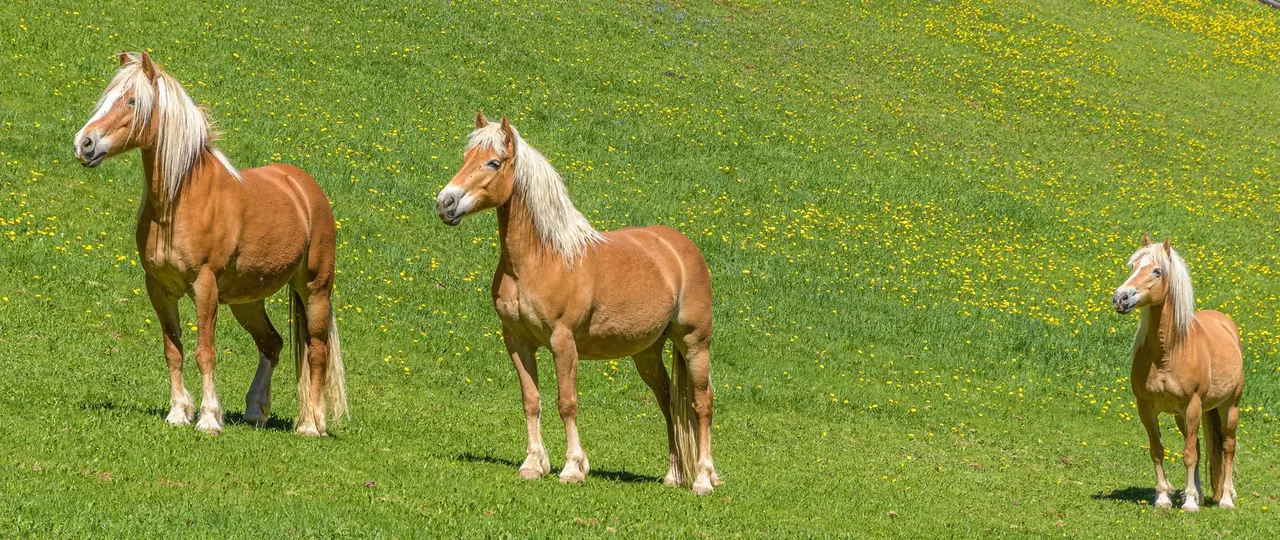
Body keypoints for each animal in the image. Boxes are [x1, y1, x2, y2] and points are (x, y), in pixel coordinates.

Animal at [72, 52, 347, 436]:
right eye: (106, 98)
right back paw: (256, 410)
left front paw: (207, 418)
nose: (84, 144)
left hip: (315, 290)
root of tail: (306, 188)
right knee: (272, 343)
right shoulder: (159, 288)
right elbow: (173, 349)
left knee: (317, 351)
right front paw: (177, 412)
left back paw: (312, 424)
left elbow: (205, 352)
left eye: (132, 101)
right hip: (248, 302)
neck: (179, 203)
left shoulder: (205, 287)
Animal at [435, 112, 722, 494]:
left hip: (694, 343)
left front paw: (573, 468)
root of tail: (681, 247)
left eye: (493, 162)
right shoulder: (517, 341)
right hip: (647, 353)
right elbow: (531, 401)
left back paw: (703, 479)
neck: (544, 259)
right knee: (669, 401)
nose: (445, 203)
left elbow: (567, 403)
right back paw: (673, 475)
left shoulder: (563, 342)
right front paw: (533, 464)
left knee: (701, 404)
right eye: (466, 157)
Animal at [1112, 234, 1243, 511]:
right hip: (1185, 416)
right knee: (1201, 446)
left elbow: (1189, 454)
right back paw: (1200, 494)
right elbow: (1158, 450)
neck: (1168, 354)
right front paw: (1164, 498)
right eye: (1133, 267)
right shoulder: (1146, 407)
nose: (1121, 298)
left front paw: (1190, 504)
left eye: (1157, 271)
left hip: (1229, 406)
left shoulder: (1192, 405)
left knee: (1228, 447)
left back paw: (1226, 498)